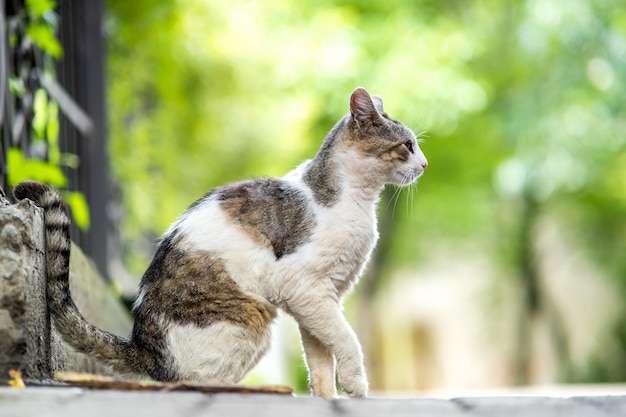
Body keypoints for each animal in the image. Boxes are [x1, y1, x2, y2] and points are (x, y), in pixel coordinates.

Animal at [14, 87, 424, 396]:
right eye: (407, 146)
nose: (425, 165)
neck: (358, 201)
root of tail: (143, 347)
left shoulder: (321, 299)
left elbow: (321, 357)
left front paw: (326, 397)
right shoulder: (305, 288)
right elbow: (346, 339)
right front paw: (356, 386)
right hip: (251, 318)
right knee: (193, 382)